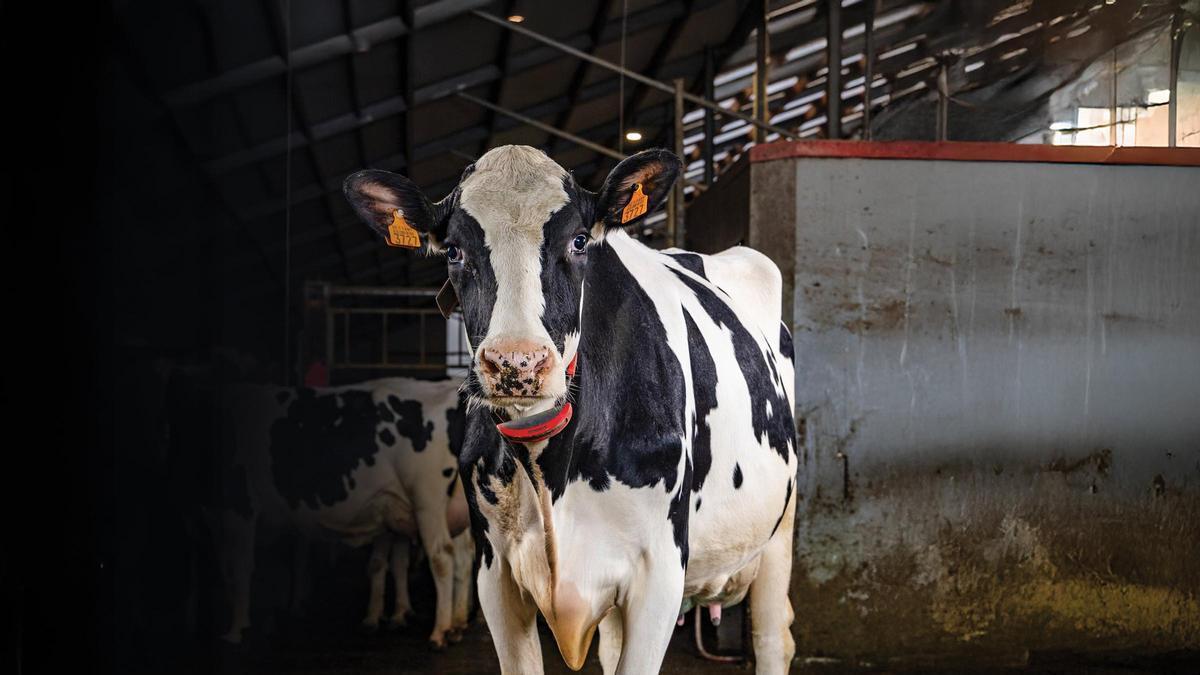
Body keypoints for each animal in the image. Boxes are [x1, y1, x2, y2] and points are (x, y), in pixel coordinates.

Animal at [167, 374, 475, 648]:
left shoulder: (238, 505)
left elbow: (238, 567)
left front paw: (235, 629)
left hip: (427, 500)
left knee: (442, 557)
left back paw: (439, 632)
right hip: (454, 507)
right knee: (462, 557)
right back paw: (457, 624)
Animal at [344, 145, 798, 674]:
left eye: (579, 241)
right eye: (453, 249)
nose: (517, 362)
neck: (548, 467)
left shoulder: (659, 575)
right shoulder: (494, 573)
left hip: (778, 530)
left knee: (772, 637)